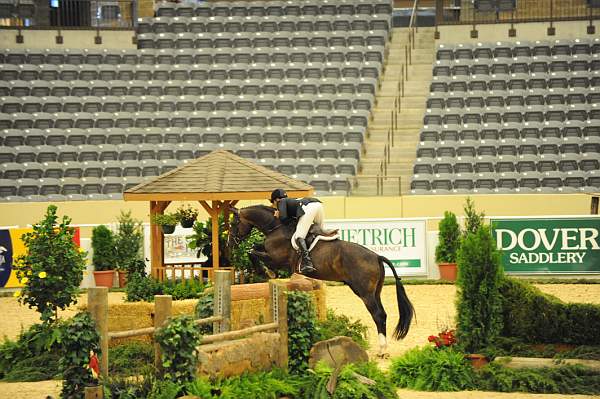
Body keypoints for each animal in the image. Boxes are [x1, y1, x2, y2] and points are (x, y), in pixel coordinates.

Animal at [227, 205, 414, 358]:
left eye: (233, 224)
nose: (230, 244)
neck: (276, 227)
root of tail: (376, 256)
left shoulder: (278, 259)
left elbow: (252, 252)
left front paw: (265, 271)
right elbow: (254, 248)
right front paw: (264, 270)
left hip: (365, 293)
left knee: (378, 315)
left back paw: (382, 350)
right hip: (375, 291)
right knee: (382, 315)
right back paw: (384, 348)